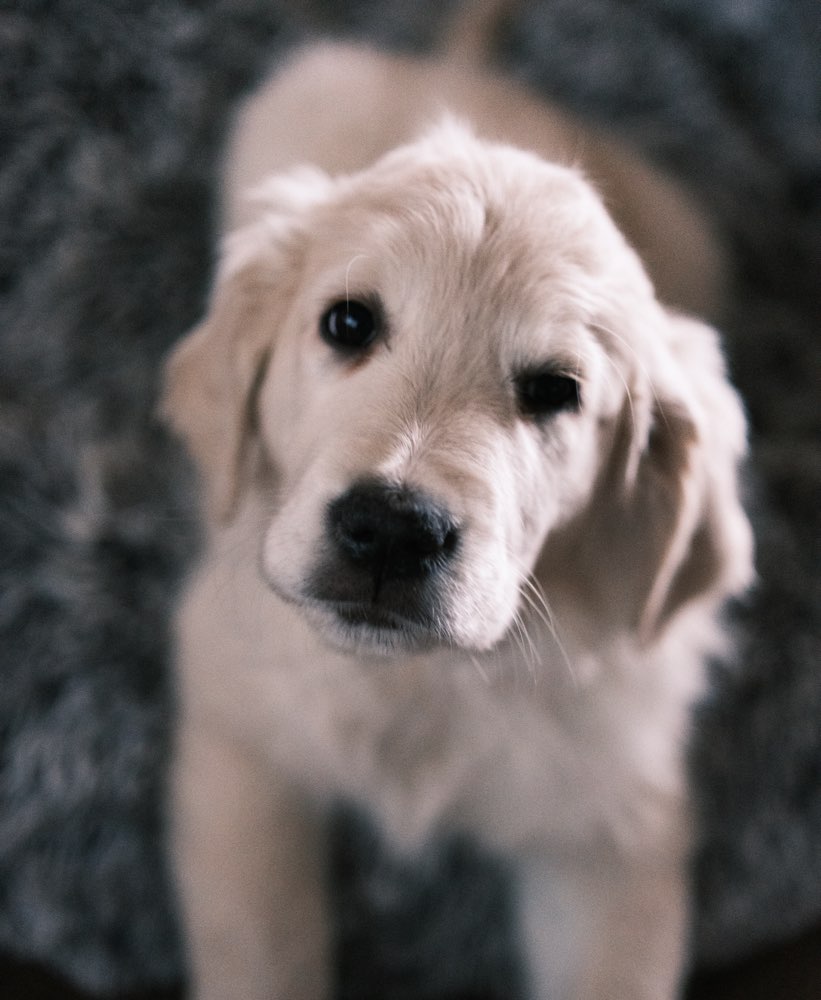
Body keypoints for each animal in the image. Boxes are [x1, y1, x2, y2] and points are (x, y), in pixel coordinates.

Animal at [162, 21, 756, 1000]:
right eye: (348, 324)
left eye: (555, 391)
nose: (392, 530)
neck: (424, 679)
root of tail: (460, 66)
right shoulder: (244, 744)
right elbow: (263, 952)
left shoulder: (607, 831)